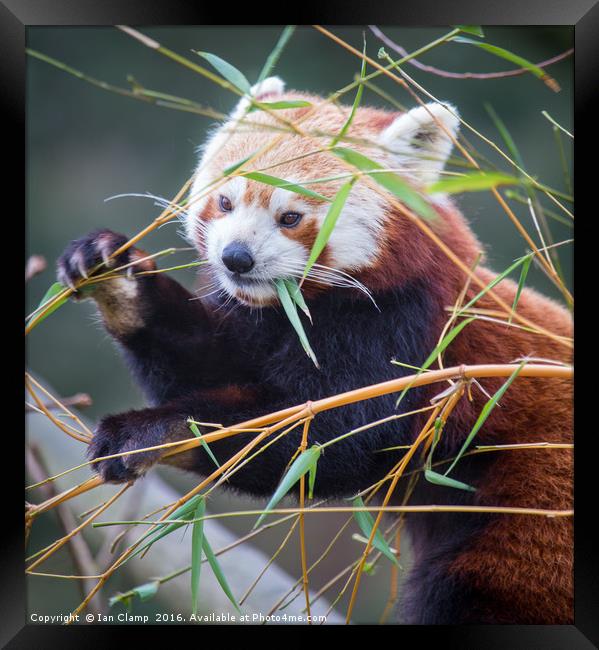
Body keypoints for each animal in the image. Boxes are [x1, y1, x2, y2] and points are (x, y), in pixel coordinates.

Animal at [58, 76, 576, 624]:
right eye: (225, 202)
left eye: (290, 216)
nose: (236, 258)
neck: (305, 305)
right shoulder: (260, 320)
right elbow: (209, 364)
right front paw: (119, 280)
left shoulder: (404, 327)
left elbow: (330, 437)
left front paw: (149, 432)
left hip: (535, 500)